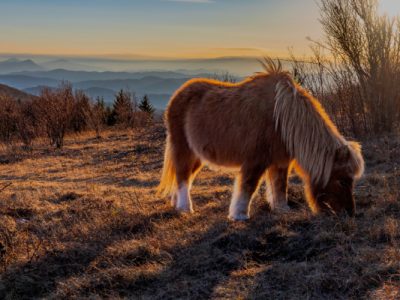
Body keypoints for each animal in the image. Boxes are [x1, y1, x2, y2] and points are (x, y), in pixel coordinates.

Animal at [158, 58, 364, 220]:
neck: (282, 119)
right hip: (183, 148)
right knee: (182, 176)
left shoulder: (280, 162)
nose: (350, 213)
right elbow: (248, 186)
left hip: (197, 155)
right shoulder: (255, 160)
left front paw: (282, 210)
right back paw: (185, 208)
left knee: (184, 176)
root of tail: (177, 95)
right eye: (343, 180)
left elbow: (280, 186)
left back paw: (177, 205)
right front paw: (239, 215)